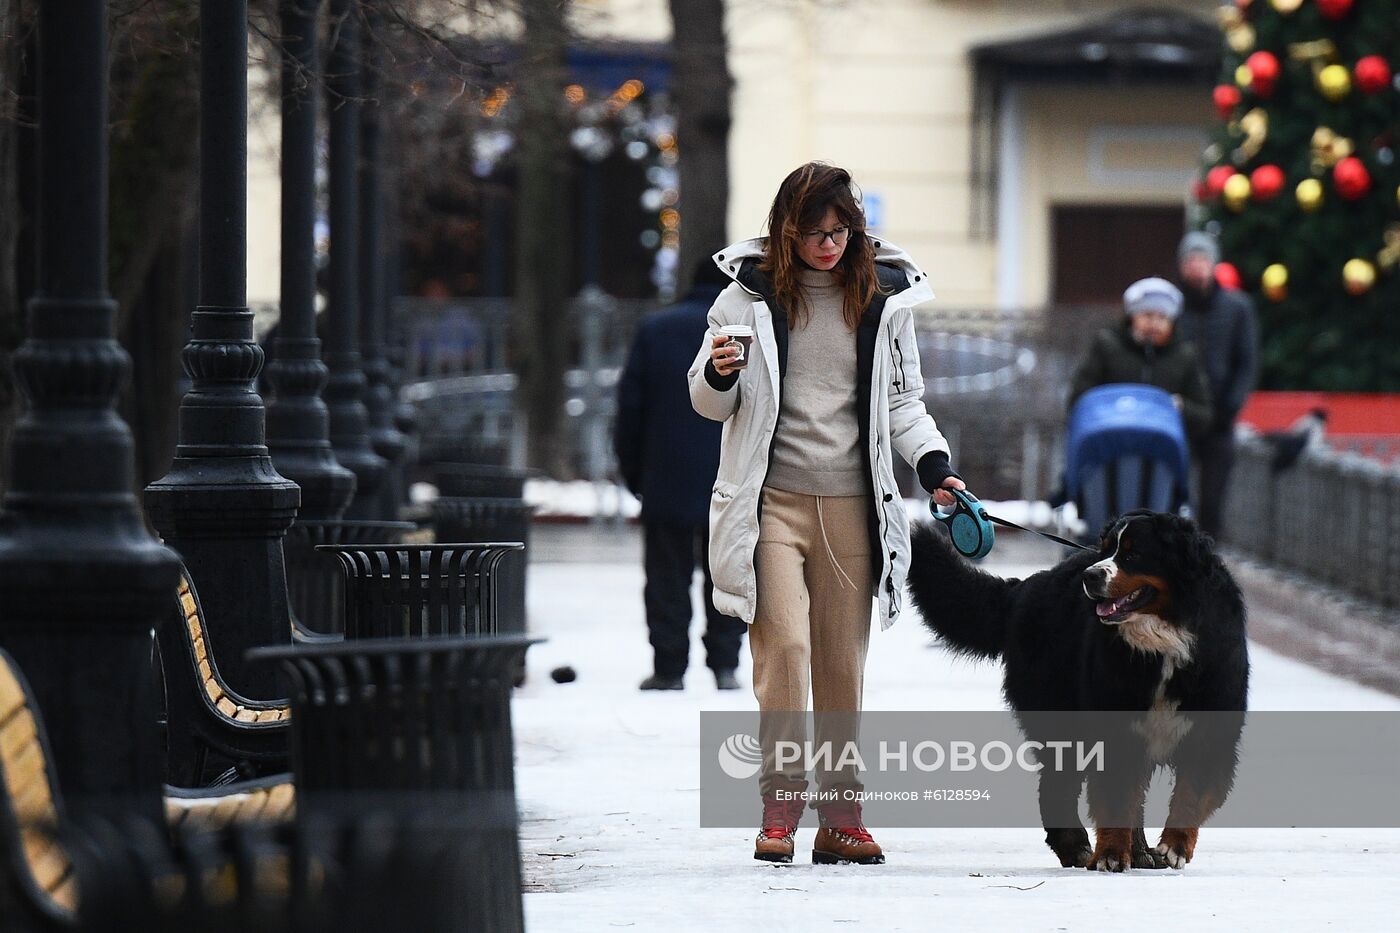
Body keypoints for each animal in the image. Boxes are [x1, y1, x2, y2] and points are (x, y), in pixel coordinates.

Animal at [907, 504, 1248, 868]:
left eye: (1133, 554)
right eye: (1106, 549)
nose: (1091, 575)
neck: (1163, 640)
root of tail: (1026, 587)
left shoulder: (1209, 731)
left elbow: (1190, 793)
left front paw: (1173, 846)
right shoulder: (1113, 727)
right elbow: (1115, 797)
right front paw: (1111, 854)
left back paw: (1140, 852)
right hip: (1060, 718)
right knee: (1057, 787)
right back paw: (1076, 846)